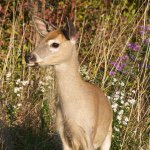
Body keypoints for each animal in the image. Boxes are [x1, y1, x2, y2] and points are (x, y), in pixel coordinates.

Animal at [25, 15, 112, 149]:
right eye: (41, 40)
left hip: (108, 134)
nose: (29, 57)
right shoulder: (62, 134)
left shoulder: (88, 134)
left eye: (55, 44)